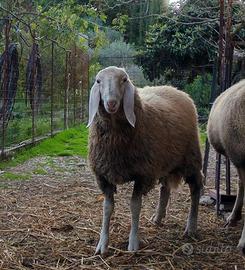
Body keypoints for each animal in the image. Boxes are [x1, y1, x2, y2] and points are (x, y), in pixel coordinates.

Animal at [87, 66, 202, 255]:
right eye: (98, 81)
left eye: (124, 80)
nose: (111, 103)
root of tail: (174, 89)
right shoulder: (103, 176)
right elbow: (107, 208)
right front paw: (102, 244)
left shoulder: (143, 174)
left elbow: (135, 206)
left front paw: (133, 243)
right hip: (164, 159)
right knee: (165, 187)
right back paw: (158, 218)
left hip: (190, 158)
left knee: (195, 188)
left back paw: (191, 227)